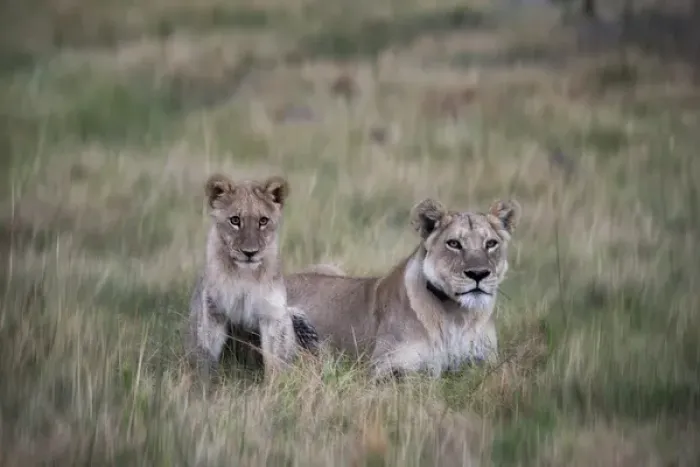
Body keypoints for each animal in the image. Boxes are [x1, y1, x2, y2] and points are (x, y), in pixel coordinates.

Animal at [186, 173, 317, 381]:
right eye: (235, 220)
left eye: (263, 221)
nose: (250, 252)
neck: (244, 276)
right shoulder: (212, 310)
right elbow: (206, 355)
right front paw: (204, 384)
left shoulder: (272, 314)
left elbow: (276, 358)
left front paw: (275, 386)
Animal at [285, 198, 521, 380]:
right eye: (454, 244)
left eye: (491, 244)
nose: (478, 274)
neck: (456, 315)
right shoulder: (383, 366)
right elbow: (422, 375)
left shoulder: (489, 361)